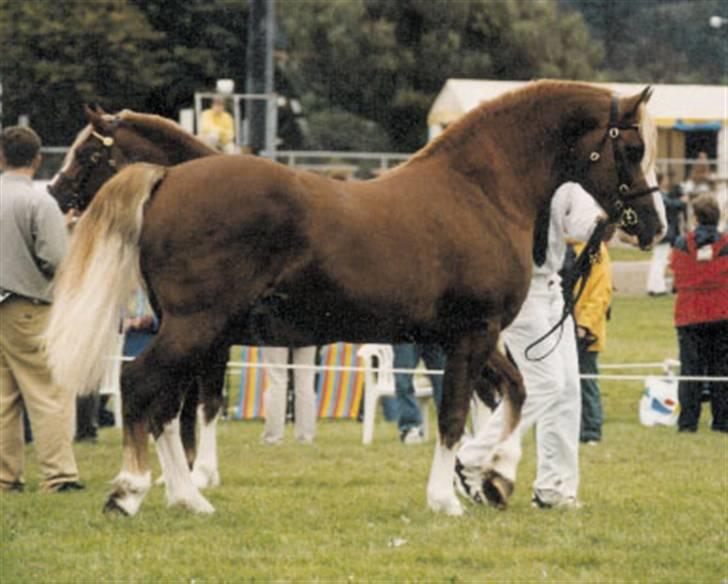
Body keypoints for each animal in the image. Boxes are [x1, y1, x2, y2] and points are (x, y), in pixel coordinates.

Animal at [45, 81, 664, 516]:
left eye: (87, 154)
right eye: (632, 147)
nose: (655, 225)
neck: (480, 192)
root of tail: (168, 181)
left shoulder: (470, 336)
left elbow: (512, 393)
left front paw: (493, 475)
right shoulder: (472, 334)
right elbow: (456, 415)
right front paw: (448, 495)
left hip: (189, 330)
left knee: (161, 405)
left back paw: (187, 499)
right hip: (193, 327)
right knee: (139, 386)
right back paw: (131, 491)